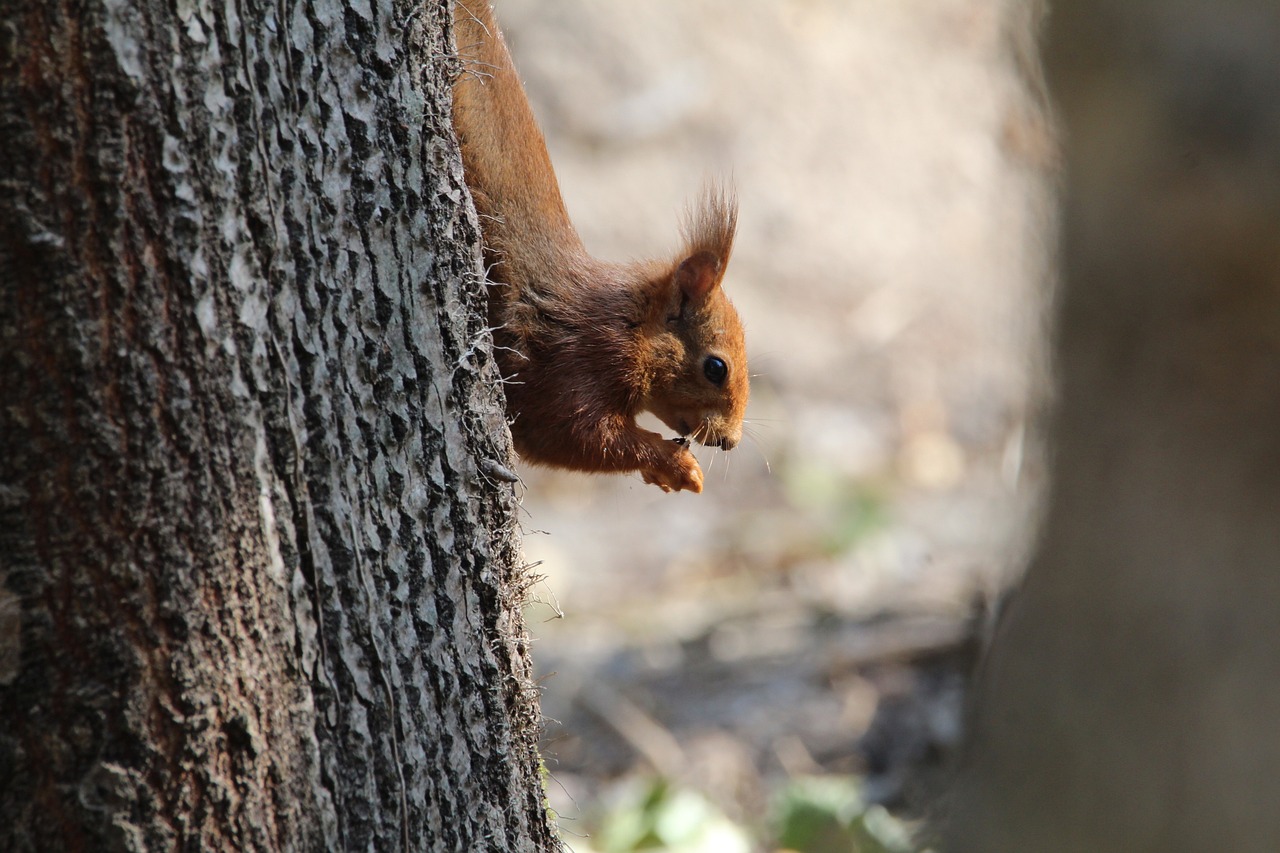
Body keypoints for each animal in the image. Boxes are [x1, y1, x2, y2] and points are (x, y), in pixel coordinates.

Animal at [450, 1, 747, 491]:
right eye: (716, 368)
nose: (731, 442)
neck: (631, 322)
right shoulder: (582, 356)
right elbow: (571, 433)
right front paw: (675, 464)